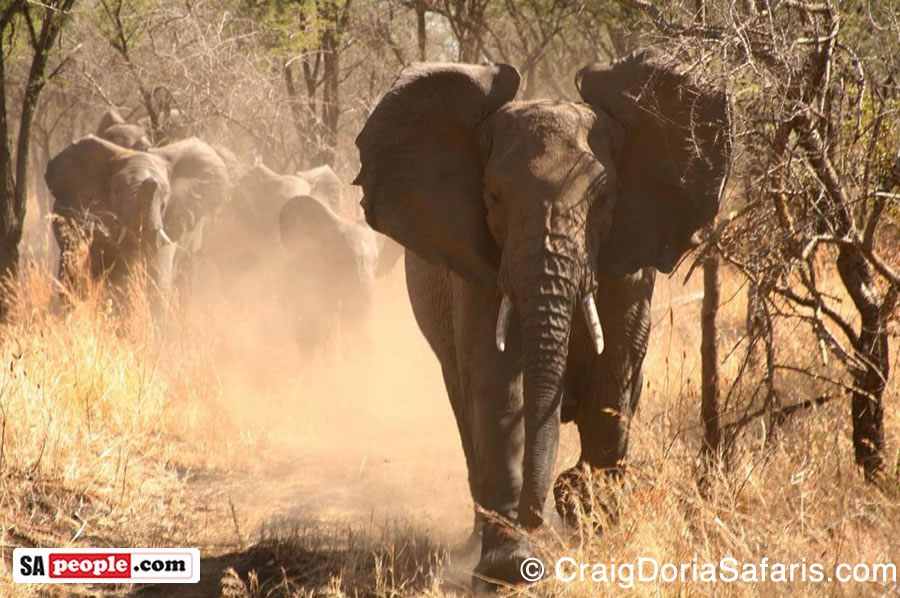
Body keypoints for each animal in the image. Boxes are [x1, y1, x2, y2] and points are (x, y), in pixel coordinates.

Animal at [352, 48, 732, 592]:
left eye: (605, 199)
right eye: (492, 198)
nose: (538, 515)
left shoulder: (628, 266)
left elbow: (612, 379)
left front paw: (593, 530)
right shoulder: (480, 268)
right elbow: (498, 386)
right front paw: (509, 567)